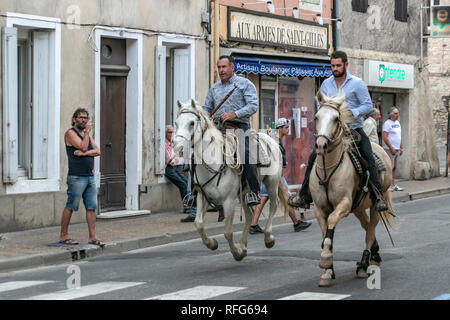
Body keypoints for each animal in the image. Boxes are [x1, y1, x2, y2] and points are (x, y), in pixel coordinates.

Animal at [172, 100, 288, 262]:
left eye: (191, 123)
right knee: (250, 215)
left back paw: (268, 238)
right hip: (244, 193)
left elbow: (227, 232)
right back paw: (244, 244)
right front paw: (213, 244)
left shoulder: (228, 201)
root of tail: (271, 139)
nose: (178, 146)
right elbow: (199, 224)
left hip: (272, 182)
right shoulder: (202, 196)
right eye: (176, 123)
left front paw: (237, 253)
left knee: (273, 206)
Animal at [312, 90, 396, 288]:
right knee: (366, 225)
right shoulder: (319, 209)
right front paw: (328, 271)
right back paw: (375, 254)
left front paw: (325, 259)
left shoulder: (343, 204)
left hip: (374, 203)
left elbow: (331, 224)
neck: (328, 170)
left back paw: (364, 264)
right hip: (358, 207)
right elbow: (326, 234)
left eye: (336, 118)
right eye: (316, 117)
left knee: (370, 229)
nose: (320, 145)